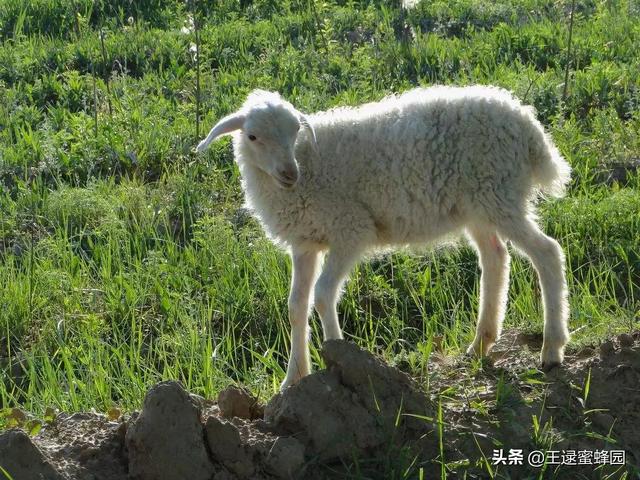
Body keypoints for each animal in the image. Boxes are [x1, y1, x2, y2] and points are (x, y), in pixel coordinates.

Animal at [198, 86, 572, 390]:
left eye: (295, 132)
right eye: (252, 137)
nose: (289, 173)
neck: (308, 167)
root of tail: (528, 125)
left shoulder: (350, 229)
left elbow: (323, 295)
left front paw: (336, 357)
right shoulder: (305, 243)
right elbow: (296, 306)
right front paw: (294, 377)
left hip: (499, 193)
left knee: (547, 253)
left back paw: (552, 348)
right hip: (480, 206)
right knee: (496, 257)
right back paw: (481, 342)